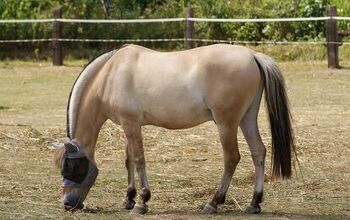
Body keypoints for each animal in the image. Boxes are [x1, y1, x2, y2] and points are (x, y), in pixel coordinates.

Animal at [53, 43, 296, 214]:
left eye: (69, 167)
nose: (68, 204)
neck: (110, 74)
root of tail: (253, 55)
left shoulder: (131, 124)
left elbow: (139, 160)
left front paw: (142, 202)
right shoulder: (129, 125)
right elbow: (129, 160)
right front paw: (128, 199)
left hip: (226, 123)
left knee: (232, 158)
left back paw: (213, 203)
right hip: (247, 118)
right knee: (258, 152)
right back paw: (254, 203)